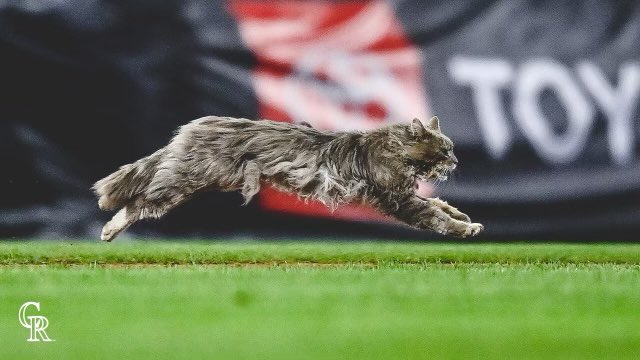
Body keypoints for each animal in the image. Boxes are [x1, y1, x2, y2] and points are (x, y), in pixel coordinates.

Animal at [94, 116, 484, 242]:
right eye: (445, 150)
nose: (456, 160)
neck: (392, 147)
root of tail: (194, 126)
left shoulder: (405, 194)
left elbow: (439, 202)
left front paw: (462, 215)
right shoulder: (397, 199)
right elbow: (434, 215)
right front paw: (464, 228)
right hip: (181, 182)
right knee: (138, 203)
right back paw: (109, 230)